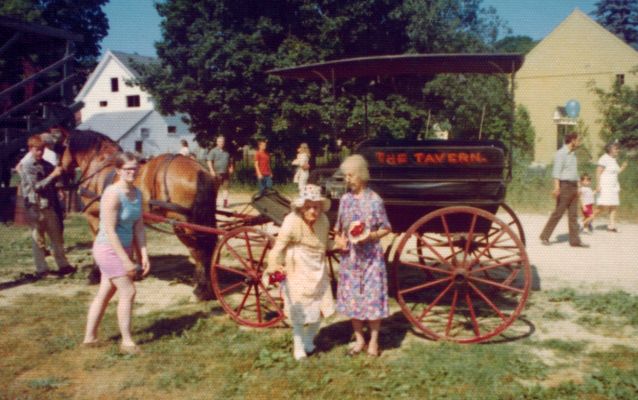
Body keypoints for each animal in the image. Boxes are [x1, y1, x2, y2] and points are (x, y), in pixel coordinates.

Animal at [61, 130, 219, 298]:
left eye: (63, 146)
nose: (61, 170)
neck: (100, 167)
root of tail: (199, 170)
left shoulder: (94, 216)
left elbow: (97, 243)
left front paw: (94, 274)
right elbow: (132, 243)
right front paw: (134, 270)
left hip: (183, 225)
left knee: (199, 250)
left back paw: (202, 289)